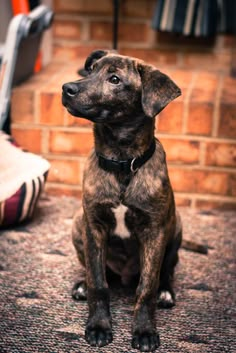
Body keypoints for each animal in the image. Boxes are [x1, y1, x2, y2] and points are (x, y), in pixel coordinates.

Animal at [62, 50, 183, 352]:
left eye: (115, 79)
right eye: (90, 70)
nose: (66, 89)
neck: (122, 164)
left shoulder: (154, 231)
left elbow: (146, 287)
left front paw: (144, 331)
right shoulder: (93, 226)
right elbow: (98, 282)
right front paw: (98, 326)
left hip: (175, 228)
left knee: (165, 271)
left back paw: (166, 292)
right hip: (77, 224)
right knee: (95, 271)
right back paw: (81, 284)